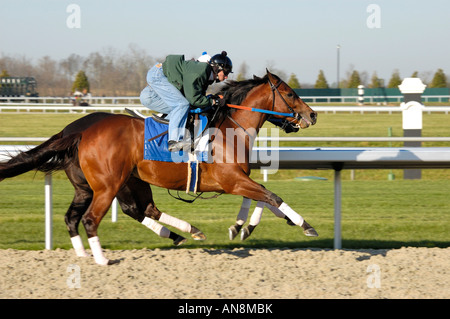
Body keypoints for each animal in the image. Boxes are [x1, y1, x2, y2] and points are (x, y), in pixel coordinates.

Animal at [0, 69, 318, 264]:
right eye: (290, 93)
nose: (312, 115)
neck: (229, 128)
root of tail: (79, 132)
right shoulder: (231, 180)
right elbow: (270, 196)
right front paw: (305, 225)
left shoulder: (237, 180)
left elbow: (263, 198)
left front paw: (241, 227)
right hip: (109, 185)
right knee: (97, 217)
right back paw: (103, 257)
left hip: (99, 185)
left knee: (94, 215)